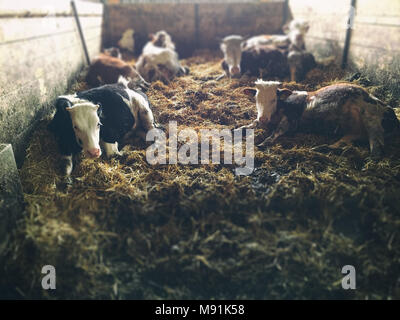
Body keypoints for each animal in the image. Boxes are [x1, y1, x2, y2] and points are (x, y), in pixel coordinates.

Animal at [242, 80, 398, 158]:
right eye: (256, 98)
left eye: (274, 99)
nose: (263, 118)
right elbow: (253, 123)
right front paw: (242, 128)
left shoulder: (291, 121)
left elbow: (276, 132)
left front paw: (264, 142)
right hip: (355, 130)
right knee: (345, 142)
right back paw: (322, 148)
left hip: (372, 123)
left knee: (376, 152)